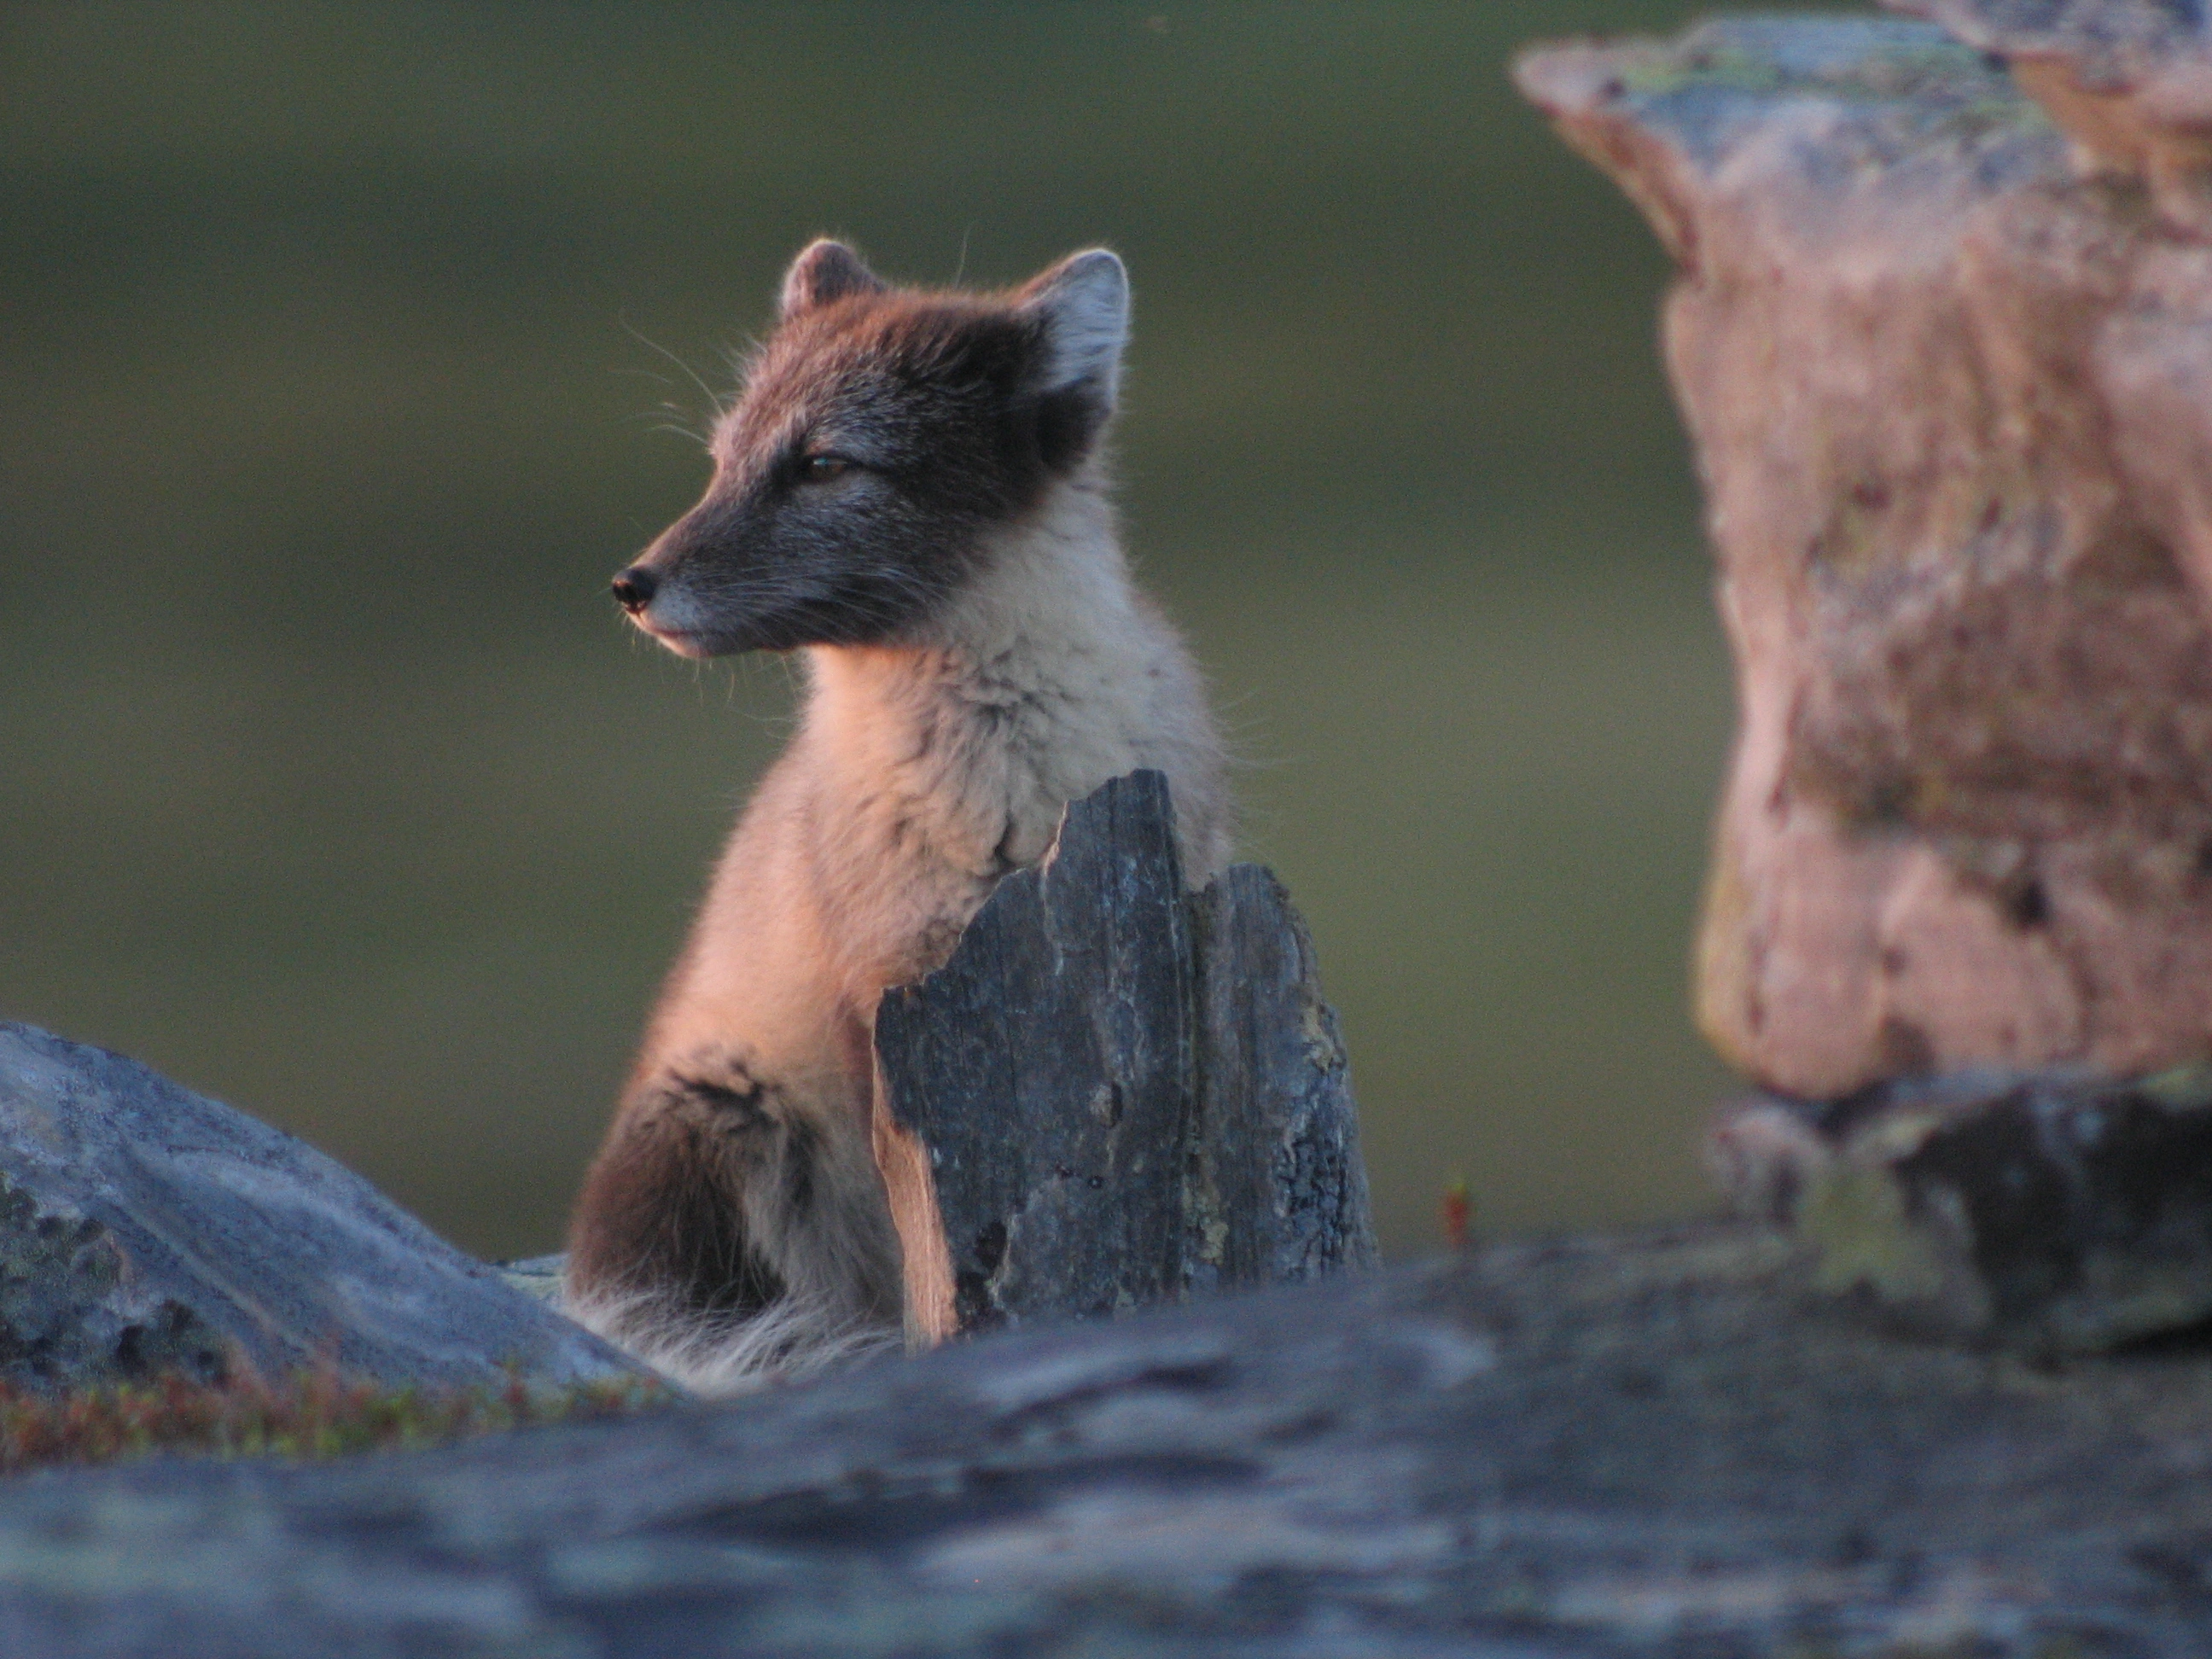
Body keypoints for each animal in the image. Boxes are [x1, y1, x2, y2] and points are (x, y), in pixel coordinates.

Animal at [566, 240, 1230, 1398]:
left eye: (825, 464)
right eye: (721, 458)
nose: (630, 585)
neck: (1014, 784)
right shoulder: (879, 991)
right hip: (721, 1114)